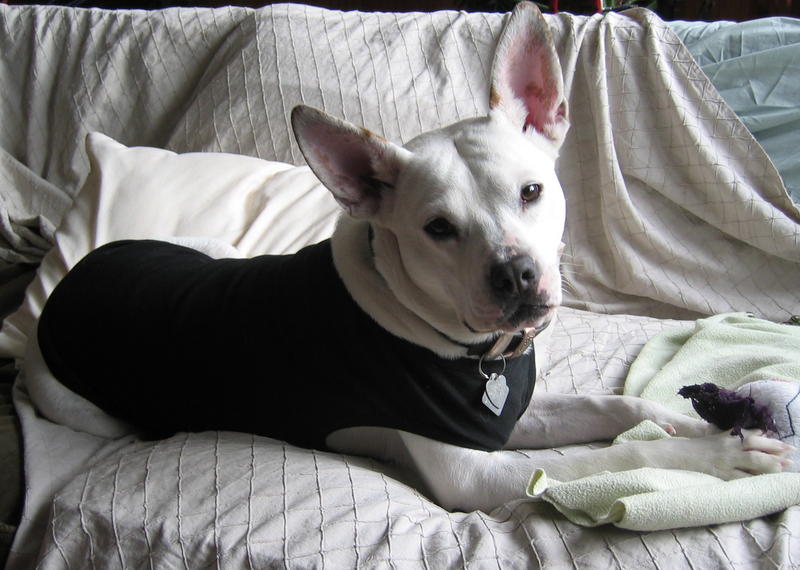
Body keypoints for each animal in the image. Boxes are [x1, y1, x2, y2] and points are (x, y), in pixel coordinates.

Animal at [36, 2, 792, 513]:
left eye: (532, 191)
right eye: (438, 228)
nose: (516, 275)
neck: (469, 350)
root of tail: (74, 277)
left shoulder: (511, 417)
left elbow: (607, 405)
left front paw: (686, 419)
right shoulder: (476, 472)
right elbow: (607, 458)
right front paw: (716, 453)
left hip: (206, 249)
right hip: (86, 409)